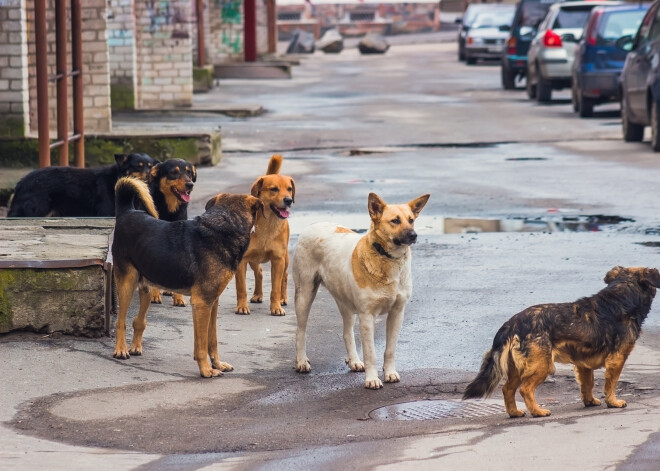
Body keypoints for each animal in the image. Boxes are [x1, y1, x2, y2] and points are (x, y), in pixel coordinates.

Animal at [112, 177, 262, 380]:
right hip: (127, 283)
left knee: (138, 320)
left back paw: (135, 346)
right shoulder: (201, 303)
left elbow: (212, 339)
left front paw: (217, 364)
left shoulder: (212, 302)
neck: (224, 226)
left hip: (146, 287)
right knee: (120, 321)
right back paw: (121, 350)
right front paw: (206, 370)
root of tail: (127, 211)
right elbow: (201, 345)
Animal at [149, 158, 199, 306]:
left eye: (189, 173)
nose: (190, 184)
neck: (169, 210)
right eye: (173, 172)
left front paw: (179, 298)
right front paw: (154, 295)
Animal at [233, 156, 292, 318]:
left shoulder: (278, 260)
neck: (268, 224)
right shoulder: (242, 260)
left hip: (285, 259)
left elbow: (275, 288)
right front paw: (242, 306)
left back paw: (283, 298)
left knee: (284, 277)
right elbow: (241, 288)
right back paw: (257, 295)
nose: (289, 200)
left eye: (289, 189)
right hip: (253, 258)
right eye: (274, 189)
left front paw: (276, 307)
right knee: (258, 272)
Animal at [292, 193, 428, 390]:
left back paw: (354, 360)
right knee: (300, 331)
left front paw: (390, 373)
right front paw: (372, 379)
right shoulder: (367, 316)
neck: (387, 258)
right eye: (395, 221)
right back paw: (301, 361)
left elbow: (390, 349)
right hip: (304, 295)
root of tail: (313, 224)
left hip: (345, 302)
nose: (414, 235)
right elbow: (371, 353)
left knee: (347, 332)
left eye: (411, 220)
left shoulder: (397, 313)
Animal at [464, 268, 660, 418]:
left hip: (518, 368)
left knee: (507, 389)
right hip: (542, 366)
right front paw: (613, 402)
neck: (621, 297)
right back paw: (538, 412)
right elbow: (610, 384)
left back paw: (515, 412)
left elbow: (587, 384)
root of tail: (512, 324)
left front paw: (589, 401)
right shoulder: (617, 359)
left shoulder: (583, 364)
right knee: (525, 389)